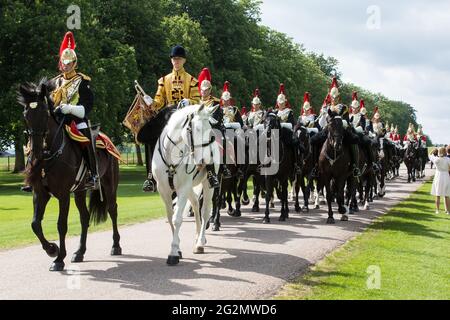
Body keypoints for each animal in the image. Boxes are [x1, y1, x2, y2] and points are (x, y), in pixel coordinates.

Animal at [18, 79, 121, 272]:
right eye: (26, 114)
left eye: (44, 113)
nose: (35, 151)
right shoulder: (40, 193)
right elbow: (35, 223)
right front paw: (52, 249)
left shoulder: (63, 194)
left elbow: (61, 225)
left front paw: (58, 259)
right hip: (80, 190)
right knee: (85, 217)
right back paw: (79, 252)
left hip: (109, 184)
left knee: (112, 210)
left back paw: (116, 246)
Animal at [152, 104, 221, 264]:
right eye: (196, 129)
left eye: (210, 129)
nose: (205, 161)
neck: (171, 156)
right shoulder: (163, 190)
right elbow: (170, 217)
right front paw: (177, 249)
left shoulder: (182, 189)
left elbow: (177, 218)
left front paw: (173, 253)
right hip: (189, 187)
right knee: (195, 203)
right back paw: (197, 238)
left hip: (207, 185)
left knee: (205, 211)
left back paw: (200, 242)